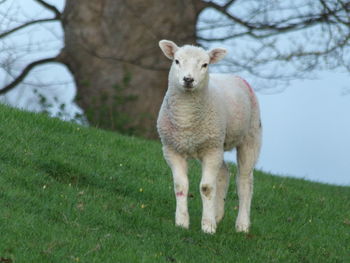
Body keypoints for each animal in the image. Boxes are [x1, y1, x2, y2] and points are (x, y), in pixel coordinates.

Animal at [157, 39, 262, 235]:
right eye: (176, 61)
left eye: (205, 65)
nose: (188, 80)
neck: (186, 118)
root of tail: (237, 77)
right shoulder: (172, 149)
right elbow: (180, 186)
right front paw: (182, 222)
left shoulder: (211, 150)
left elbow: (206, 188)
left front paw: (207, 226)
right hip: (215, 143)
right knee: (224, 173)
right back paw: (218, 214)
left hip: (250, 136)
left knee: (245, 181)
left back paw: (242, 225)